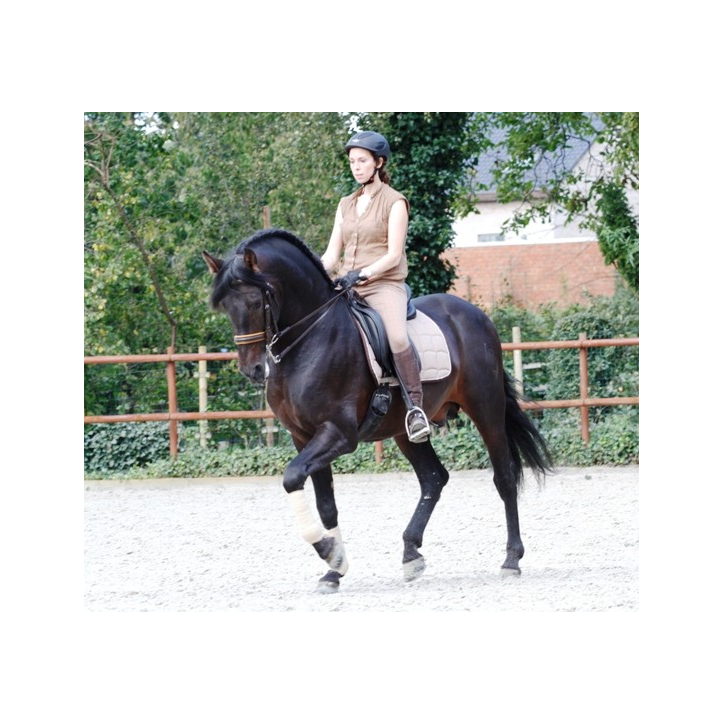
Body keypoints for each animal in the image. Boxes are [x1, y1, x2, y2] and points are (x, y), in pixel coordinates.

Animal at [203, 228, 552, 592]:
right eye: (225, 306)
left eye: (257, 302)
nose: (253, 370)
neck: (310, 337)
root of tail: (476, 315)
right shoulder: (303, 437)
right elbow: (325, 504)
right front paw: (334, 568)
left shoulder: (339, 434)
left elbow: (291, 478)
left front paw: (328, 552)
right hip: (405, 429)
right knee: (433, 478)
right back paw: (411, 555)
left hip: (486, 410)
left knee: (504, 476)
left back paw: (511, 559)